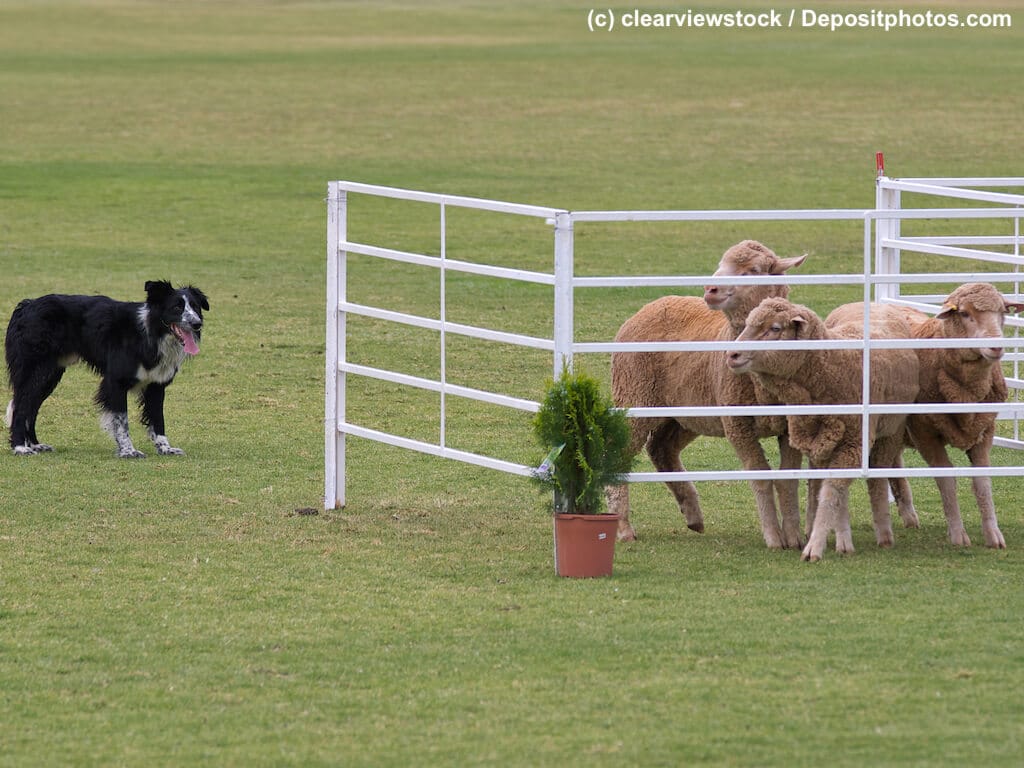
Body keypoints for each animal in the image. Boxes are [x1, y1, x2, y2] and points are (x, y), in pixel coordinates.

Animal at [607, 240, 806, 549]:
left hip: (685, 413)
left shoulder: (790, 425)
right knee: (621, 453)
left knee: (661, 449)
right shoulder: (737, 425)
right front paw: (774, 537)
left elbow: (789, 479)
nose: (710, 289)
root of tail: (651, 305)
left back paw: (692, 512)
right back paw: (623, 527)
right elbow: (760, 475)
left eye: (754, 270)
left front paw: (794, 535)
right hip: (635, 398)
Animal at [728, 298, 920, 562]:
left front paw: (814, 547)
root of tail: (870, 302)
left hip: (891, 429)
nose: (732, 354)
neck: (833, 366)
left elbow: (831, 494)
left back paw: (884, 533)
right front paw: (836, 538)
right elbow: (831, 491)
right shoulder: (822, 440)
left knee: (878, 477)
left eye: (775, 328)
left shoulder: (854, 442)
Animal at [902, 283, 1024, 548]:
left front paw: (993, 535)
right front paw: (958, 535)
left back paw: (907, 514)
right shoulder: (924, 434)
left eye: (1003, 312)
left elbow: (983, 482)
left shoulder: (984, 430)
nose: (996, 347)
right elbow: (947, 480)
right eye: (965, 313)